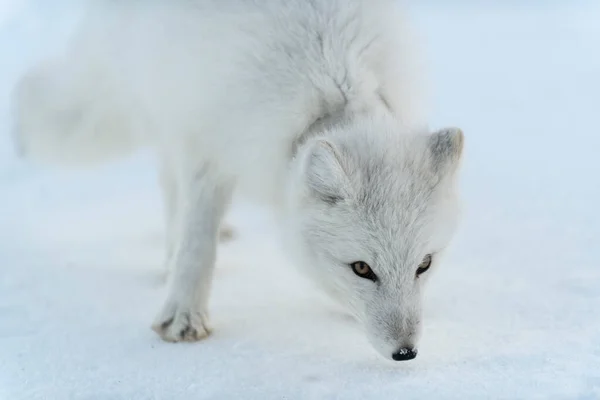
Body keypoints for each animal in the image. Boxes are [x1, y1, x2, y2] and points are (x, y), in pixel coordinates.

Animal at [11, 0, 466, 362]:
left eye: (424, 264)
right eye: (361, 268)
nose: (405, 353)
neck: (335, 87)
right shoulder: (208, 141)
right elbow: (197, 244)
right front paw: (182, 315)